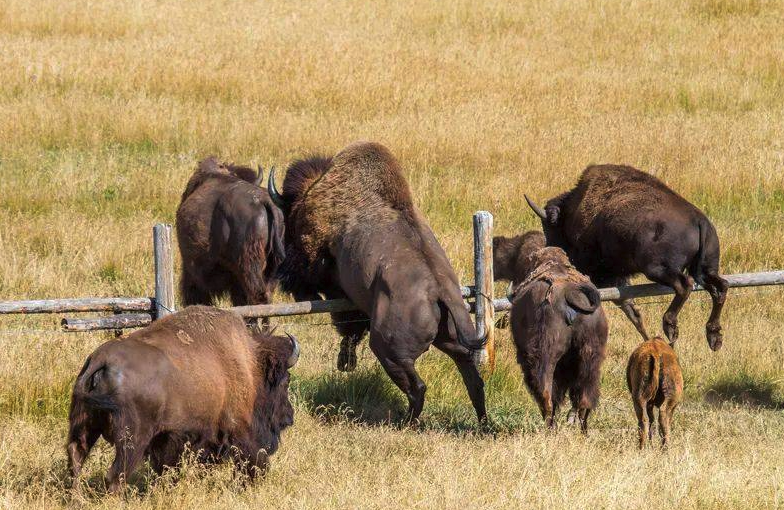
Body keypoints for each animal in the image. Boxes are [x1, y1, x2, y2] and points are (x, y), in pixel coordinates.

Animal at [63, 304, 298, 492]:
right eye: (285, 380)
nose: (289, 417)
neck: (250, 367)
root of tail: (101, 359)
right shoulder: (237, 430)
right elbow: (252, 457)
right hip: (131, 441)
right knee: (115, 476)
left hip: (84, 425)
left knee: (76, 459)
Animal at [264, 139, 484, 422]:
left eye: (291, 218)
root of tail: (439, 292)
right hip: (454, 338)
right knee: (471, 376)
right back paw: (482, 421)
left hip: (389, 350)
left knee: (417, 386)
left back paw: (405, 422)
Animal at [506, 246, 608, 430]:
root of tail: (570, 294)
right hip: (590, 355)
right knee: (586, 392)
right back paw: (581, 425)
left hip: (546, 355)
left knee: (545, 389)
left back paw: (549, 424)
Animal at [528, 165, 728, 352]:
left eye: (551, 227)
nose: (553, 250)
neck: (576, 207)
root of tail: (699, 220)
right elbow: (629, 307)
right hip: (706, 269)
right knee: (720, 287)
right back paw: (714, 337)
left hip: (658, 269)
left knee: (685, 286)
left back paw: (670, 326)